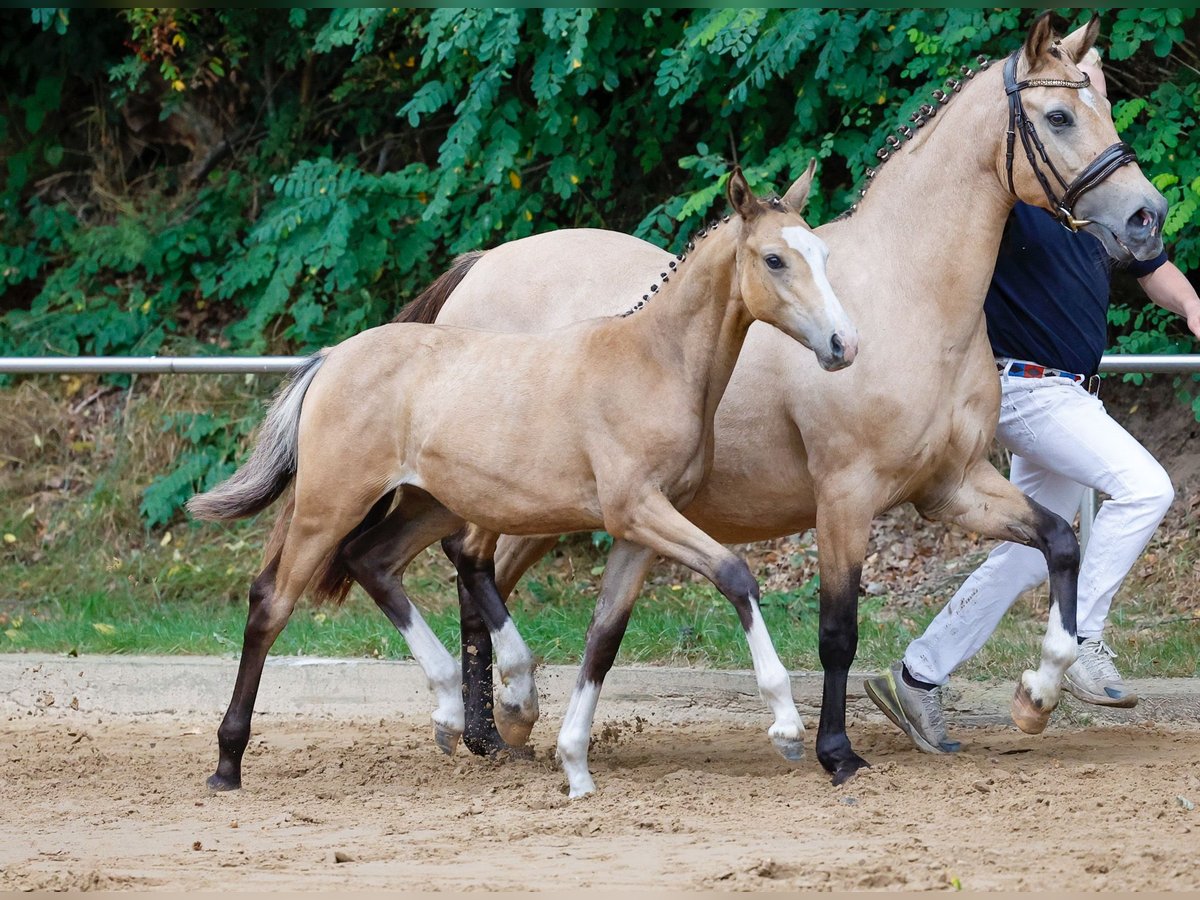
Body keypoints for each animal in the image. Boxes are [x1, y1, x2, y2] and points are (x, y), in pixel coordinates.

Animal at [192, 169, 859, 796]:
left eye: (824, 255)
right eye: (774, 259)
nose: (843, 345)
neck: (655, 363)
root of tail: (333, 358)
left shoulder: (641, 530)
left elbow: (603, 637)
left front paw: (576, 768)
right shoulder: (639, 511)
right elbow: (734, 574)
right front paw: (786, 727)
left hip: (429, 504)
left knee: (372, 560)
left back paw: (451, 711)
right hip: (328, 505)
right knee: (271, 601)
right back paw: (227, 763)